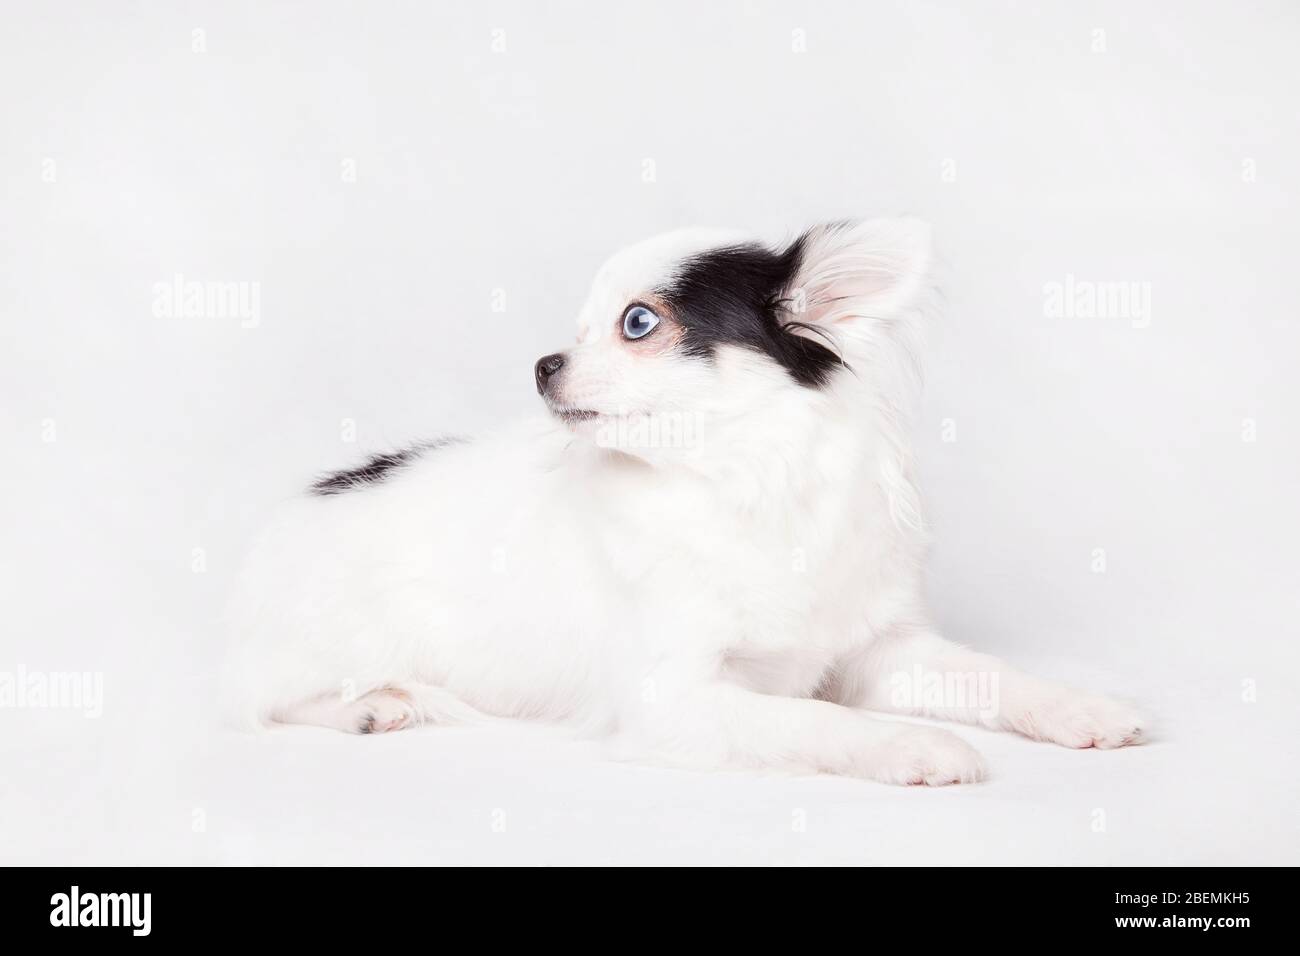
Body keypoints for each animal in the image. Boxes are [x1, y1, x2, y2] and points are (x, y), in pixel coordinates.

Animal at [228, 222, 1144, 785]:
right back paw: (370, 707)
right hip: (328, 640)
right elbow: (812, 721)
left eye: (636, 323)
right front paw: (912, 741)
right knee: (271, 695)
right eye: (580, 332)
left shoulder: (881, 651)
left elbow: (991, 675)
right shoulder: (677, 701)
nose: (544, 363)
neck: (738, 481)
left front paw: (1083, 706)